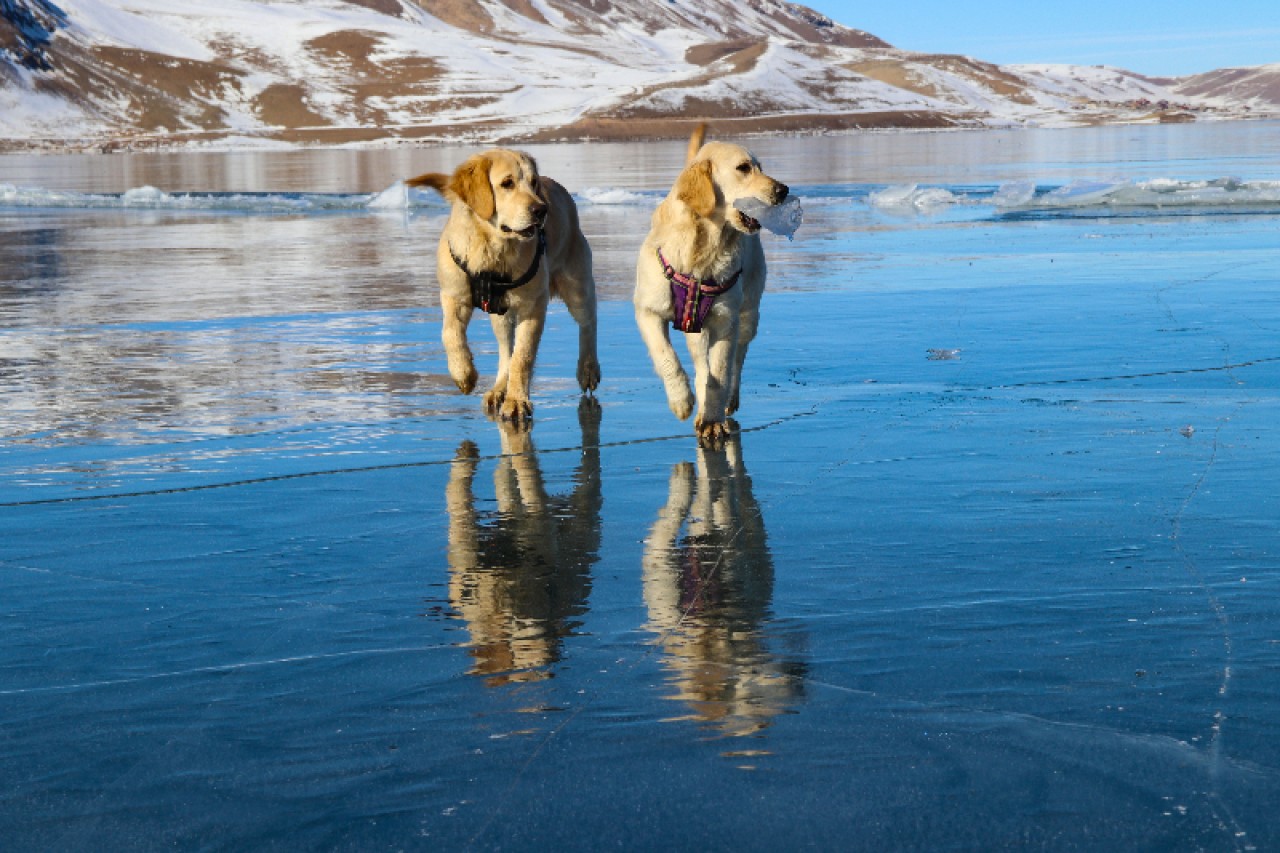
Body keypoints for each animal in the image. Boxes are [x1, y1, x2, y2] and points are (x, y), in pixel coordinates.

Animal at [412, 151, 601, 422]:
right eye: (507, 183)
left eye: (533, 183)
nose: (541, 210)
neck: (492, 249)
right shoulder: (453, 294)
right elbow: (450, 333)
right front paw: (464, 374)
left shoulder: (533, 306)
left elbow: (522, 356)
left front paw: (517, 402)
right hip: (499, 313)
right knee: (504, 349)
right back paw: (499, 388)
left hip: (576, 284)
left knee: (588, 322)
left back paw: (588, 369)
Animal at [632, 126, 783, 445]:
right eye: (743, 168)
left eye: (760, 166)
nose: (783, 190)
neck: (702, 247)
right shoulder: (647, 311)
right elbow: (666, 357)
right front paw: (681, 400)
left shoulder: (726, 320)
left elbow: (721, 371)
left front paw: (713, 420)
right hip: (696, 328)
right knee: (702, 365)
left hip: (749, 314)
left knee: (736, 360)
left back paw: (725, 403)